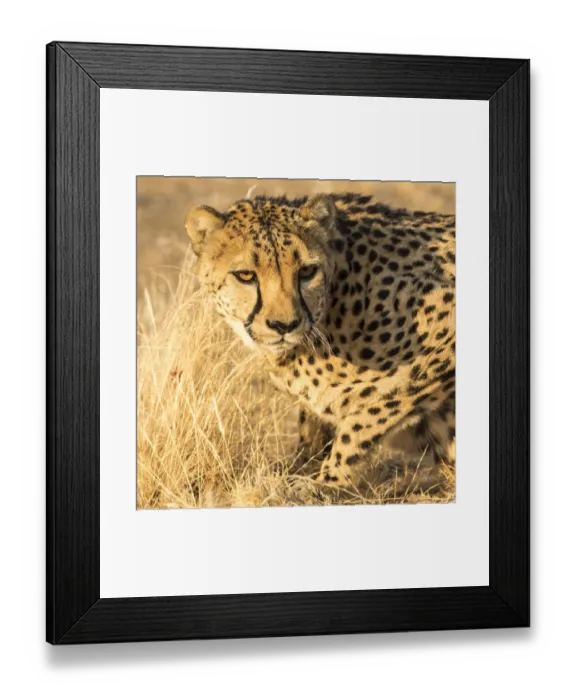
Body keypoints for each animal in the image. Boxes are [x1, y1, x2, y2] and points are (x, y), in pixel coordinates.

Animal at [185, 192, 455, 493]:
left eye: (307, 271)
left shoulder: (445, 323)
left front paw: (325, 482)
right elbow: (313, 423)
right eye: (245, 275)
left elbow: (366, 416)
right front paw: (298, 467)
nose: (284, 325)